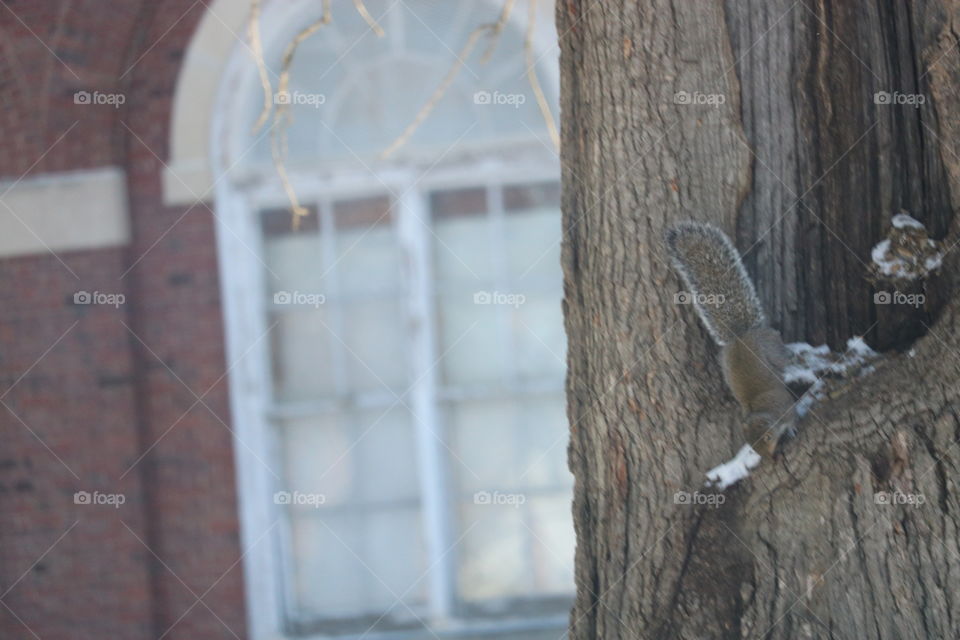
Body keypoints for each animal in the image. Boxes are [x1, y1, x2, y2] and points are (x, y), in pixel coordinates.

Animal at [665, 221, 796, 458]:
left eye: (768, 438)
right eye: (751, 447)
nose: (769, 458)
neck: (761, 409)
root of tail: (740, 336)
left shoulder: (786, 407)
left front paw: (791, 431)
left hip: (771, 348)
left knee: (780, 353)